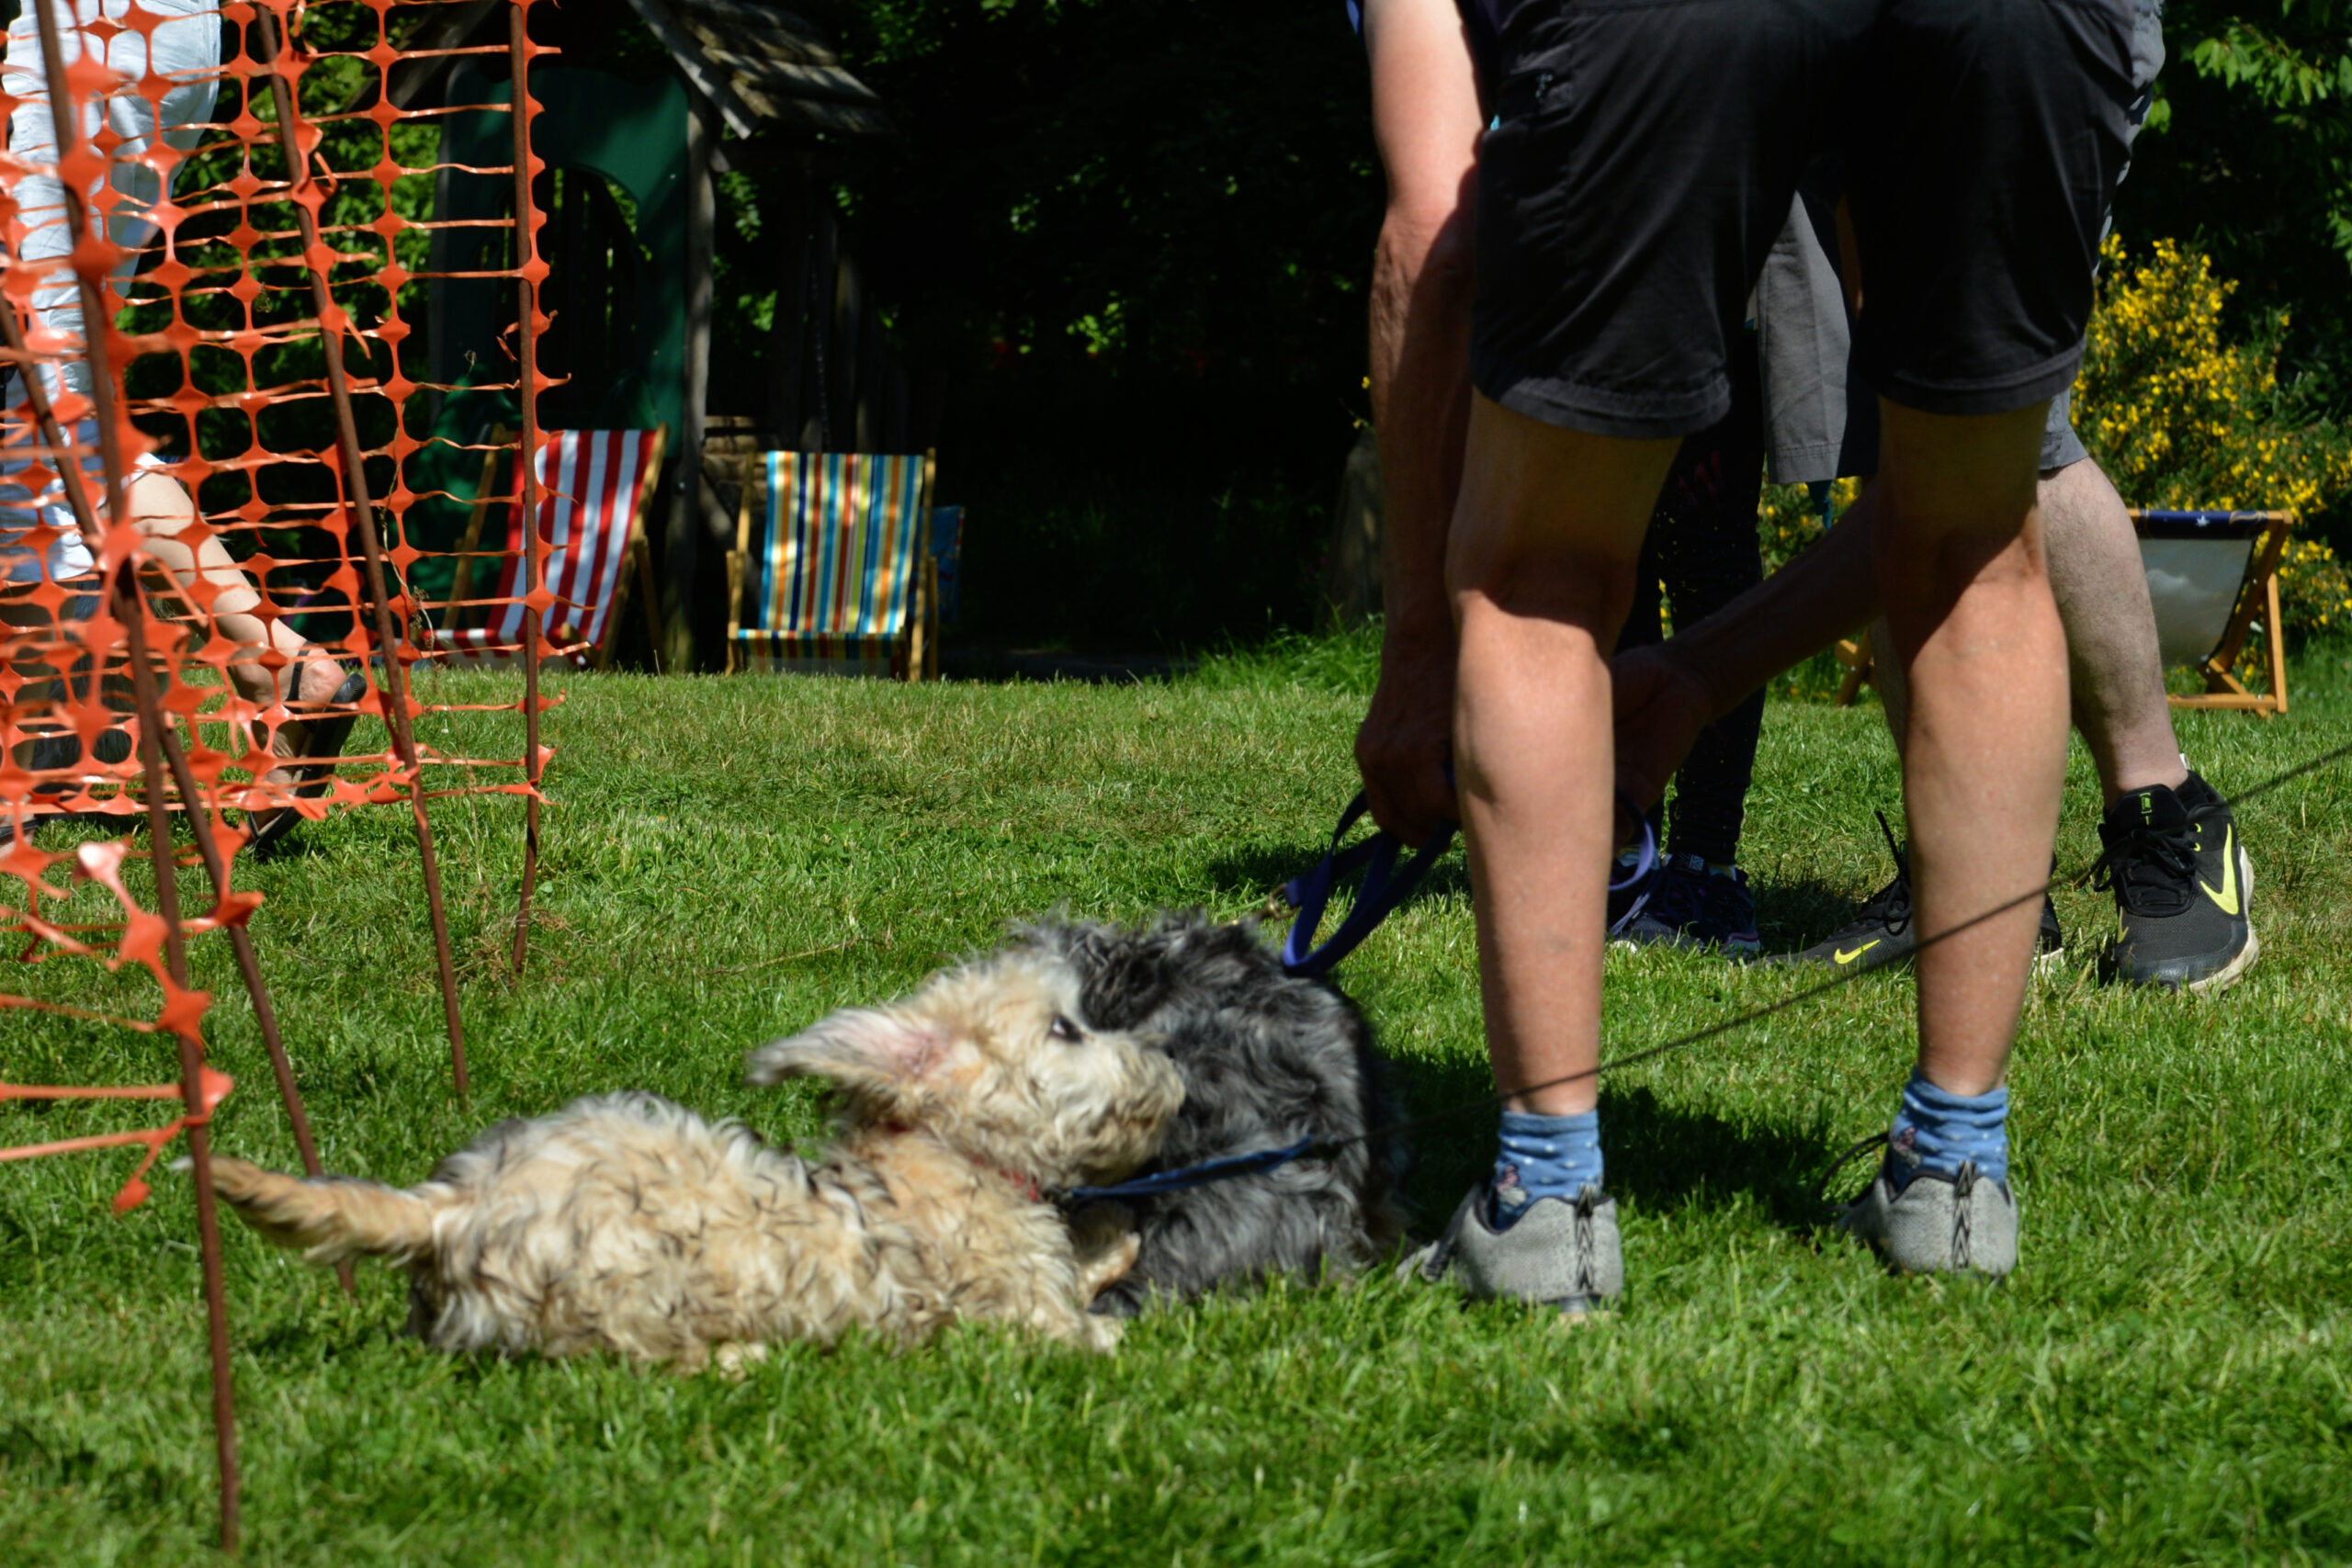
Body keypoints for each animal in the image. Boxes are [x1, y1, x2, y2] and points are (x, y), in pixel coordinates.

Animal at [211, 949, 1185, 1363]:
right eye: (1066, 1029)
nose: (1172, 1066)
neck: (945, 1156)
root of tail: (451, 1212)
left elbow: (1093, 1248)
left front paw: (1117, 1224)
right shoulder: (1024, 1314)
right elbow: (1085, 1319)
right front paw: (1125, 1299)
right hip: (629, 1300)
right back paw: (742, 1359)